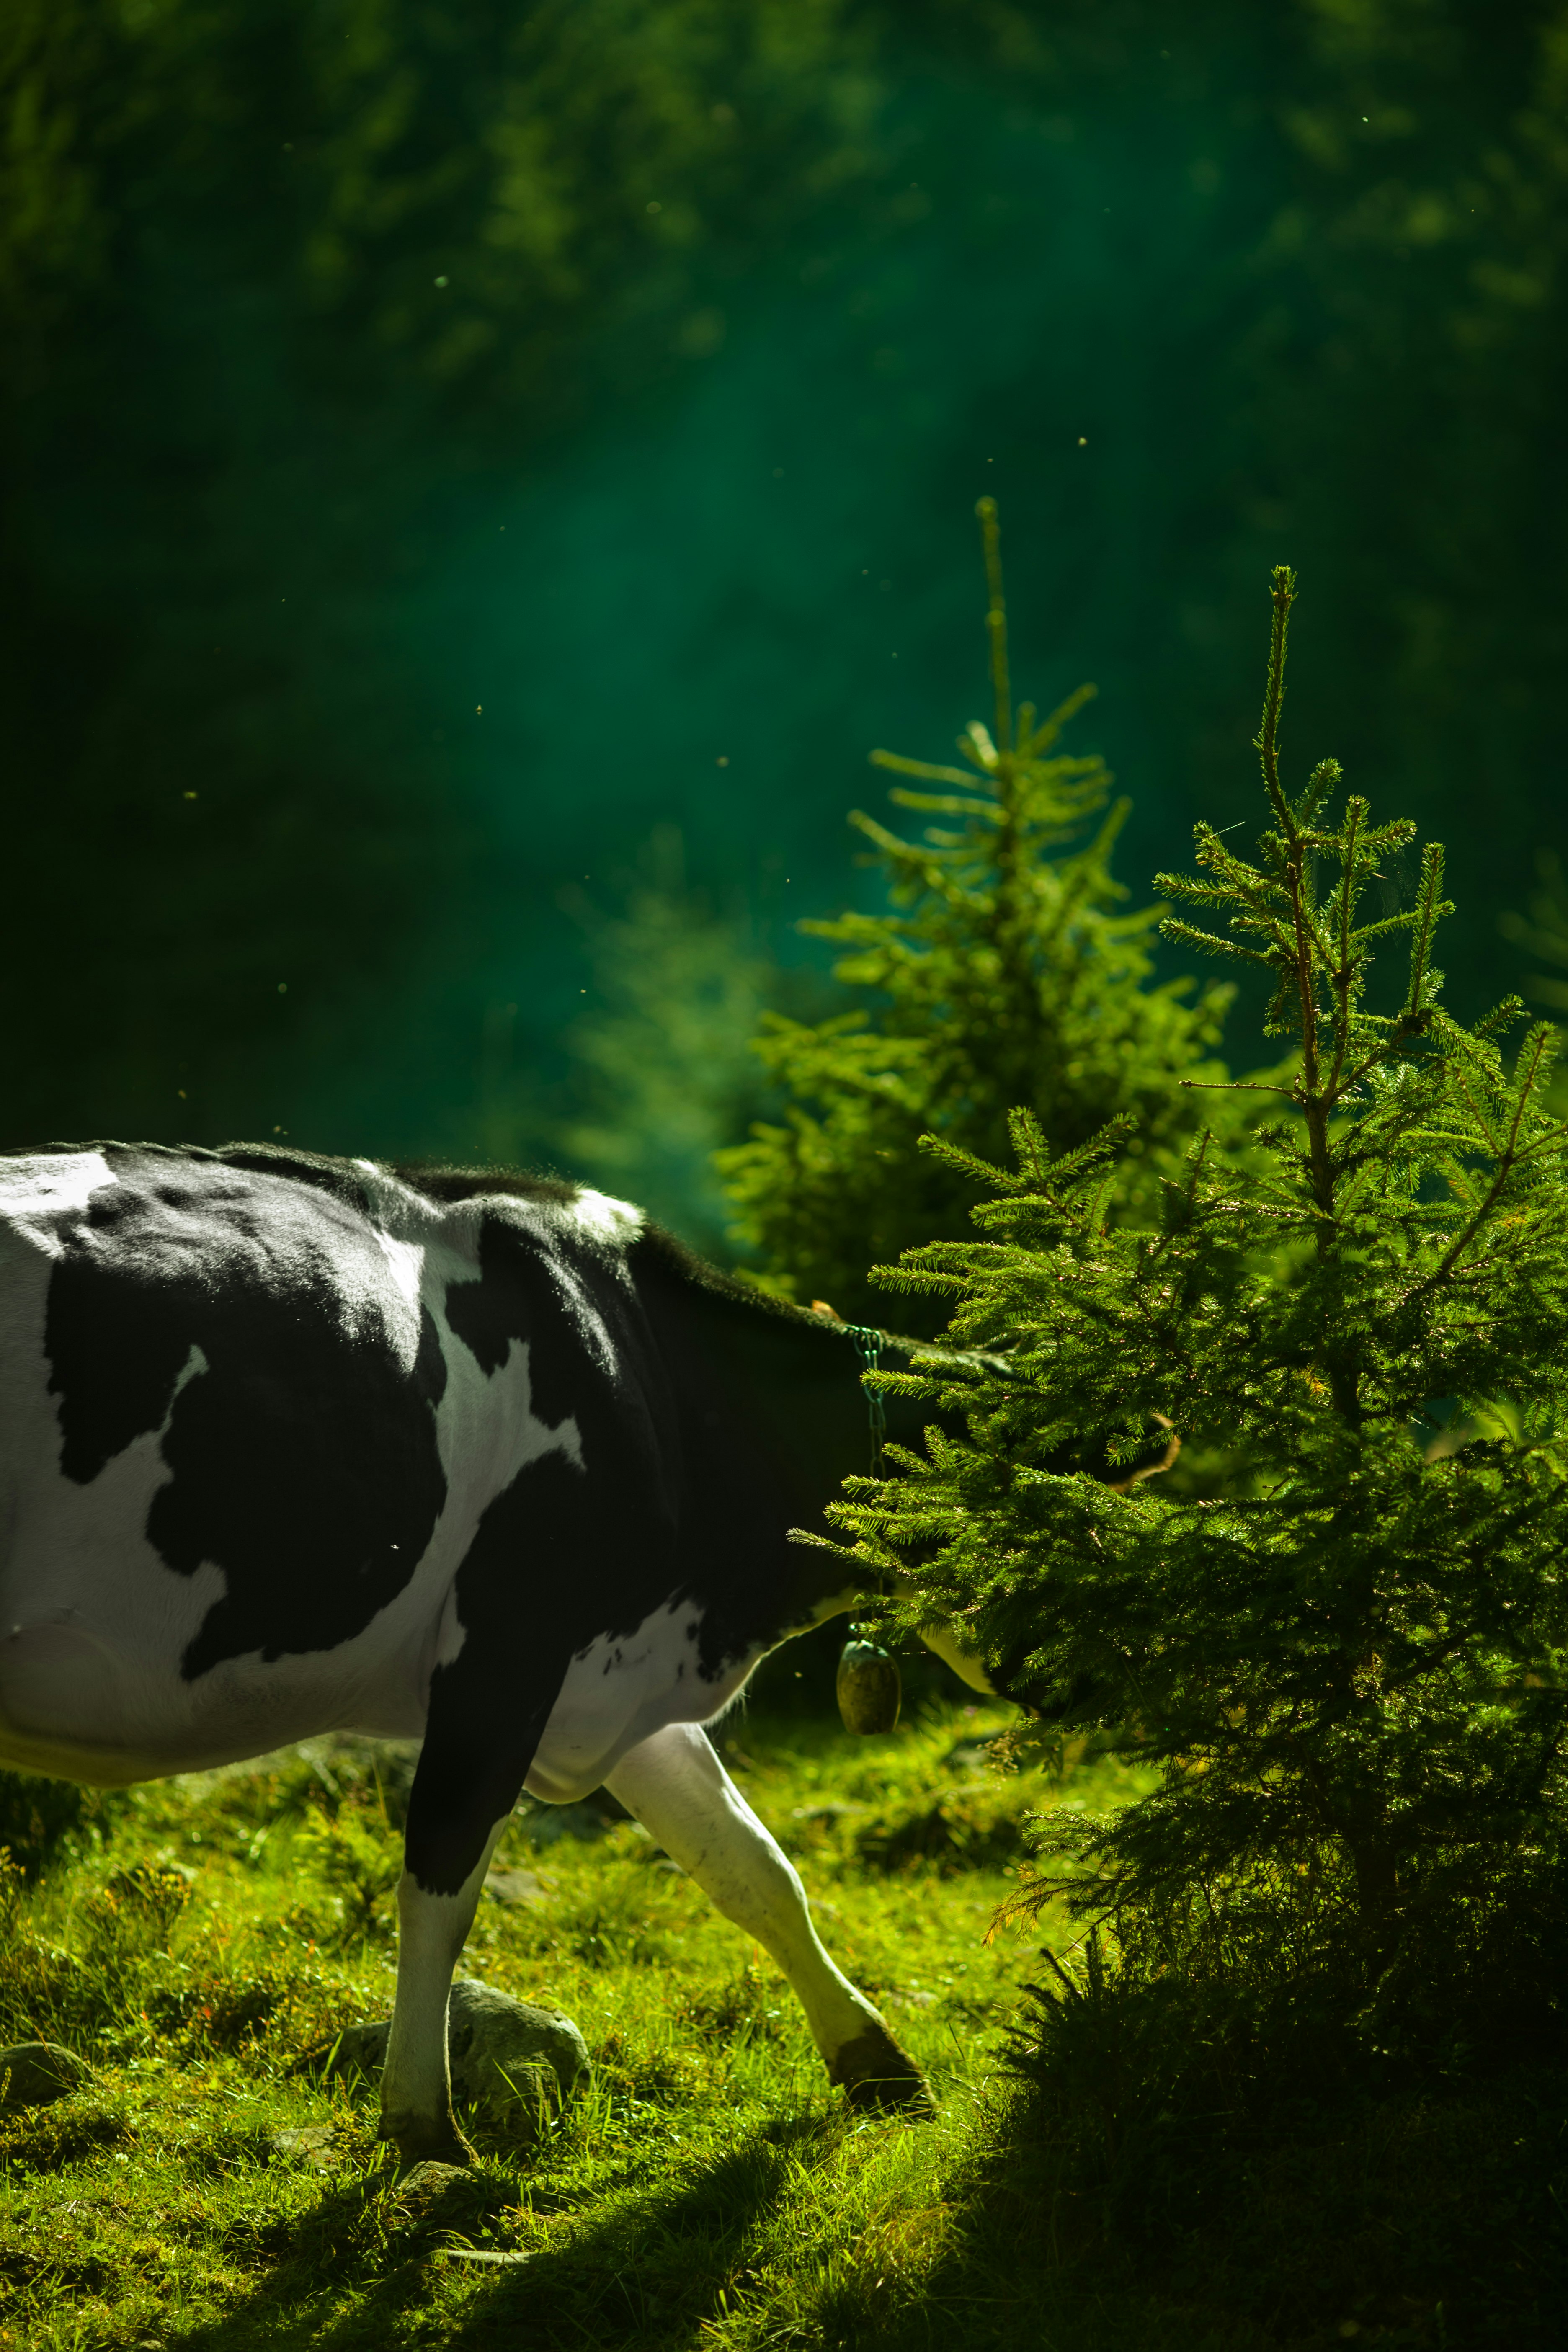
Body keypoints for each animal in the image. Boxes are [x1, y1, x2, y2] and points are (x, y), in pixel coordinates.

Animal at [0, 1148, 992, 2154]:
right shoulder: (508, 1646)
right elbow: (441, 1887)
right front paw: (422, 2123)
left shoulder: (613, 1676)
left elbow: (749, 1865)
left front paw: (881, 2068)